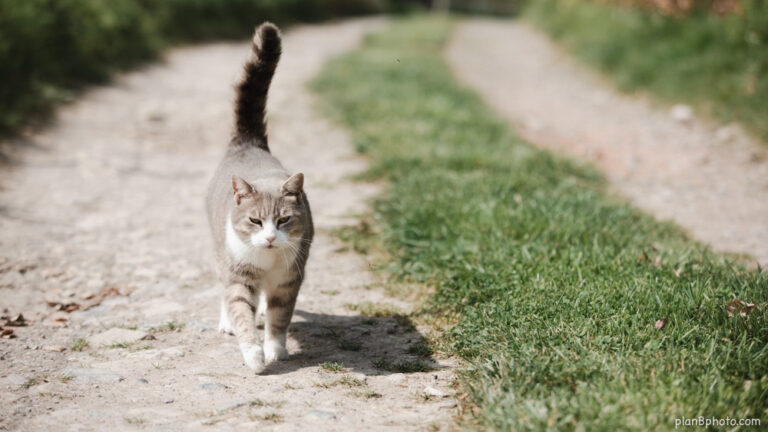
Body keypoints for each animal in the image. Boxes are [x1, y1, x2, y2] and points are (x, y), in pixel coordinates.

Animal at [206, 22, 314, 372]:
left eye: (283, 220)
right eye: (255, 220)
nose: (268, 238)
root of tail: (249, 143)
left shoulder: (289, 280)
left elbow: (280, 317)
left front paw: (275, 349)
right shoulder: (239, 276)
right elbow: (240, 309)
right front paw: (254, 354)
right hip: (220, 251)